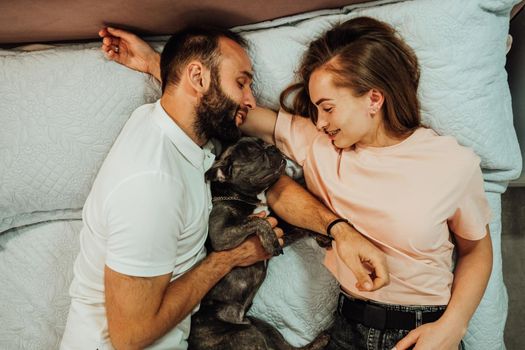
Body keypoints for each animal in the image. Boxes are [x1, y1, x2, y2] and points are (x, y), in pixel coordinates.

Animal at [187, 137, 328, 350]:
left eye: (264, 143)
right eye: (253, 152)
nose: (274, 147)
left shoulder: (282, 231)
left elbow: (297, 226)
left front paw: (322, 235)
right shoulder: (221, 233)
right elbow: (257, 221)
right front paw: (269, 240)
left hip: (262, 327)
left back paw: (321, 339)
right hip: (248, 334)